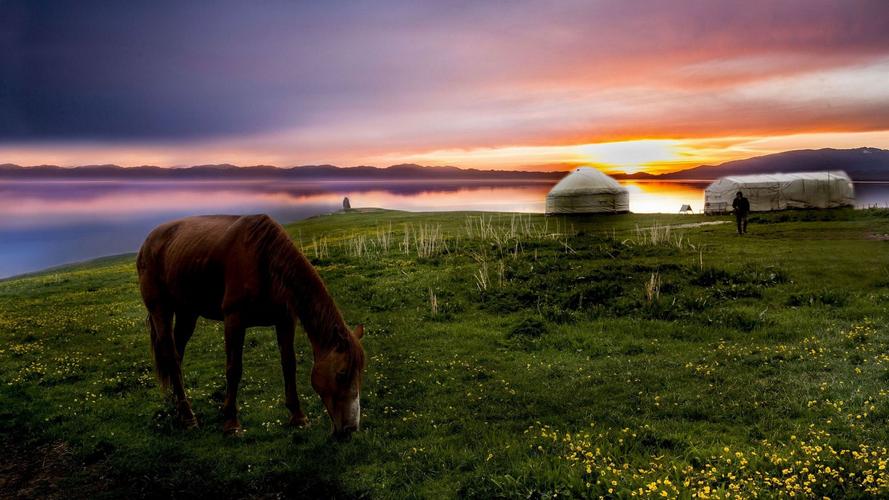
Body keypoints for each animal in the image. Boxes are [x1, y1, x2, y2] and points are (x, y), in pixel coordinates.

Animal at [137, 215, 366, 438]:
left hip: (187, 312)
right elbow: (234, 368)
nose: (350, 428)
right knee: (171, 356)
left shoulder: (285, 320)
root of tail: (147, 242)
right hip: (161, 310)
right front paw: (231, 422)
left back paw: (174, 403)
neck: (265, 262)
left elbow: (289, 364)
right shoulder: (234, 320)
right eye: (341, 374)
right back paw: (187, 416)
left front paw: (298, 416)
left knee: (177, 353)